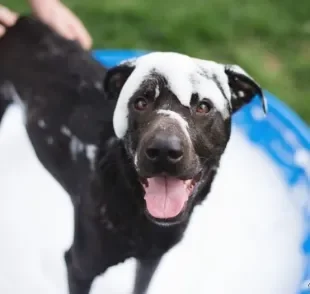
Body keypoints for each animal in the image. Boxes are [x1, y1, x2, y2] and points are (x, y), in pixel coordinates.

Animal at [0, 15, 266, 294]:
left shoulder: (152, 258)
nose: (163, 151)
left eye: (203, 106)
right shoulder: (79, 268)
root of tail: (21, 21)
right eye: (140, 102)